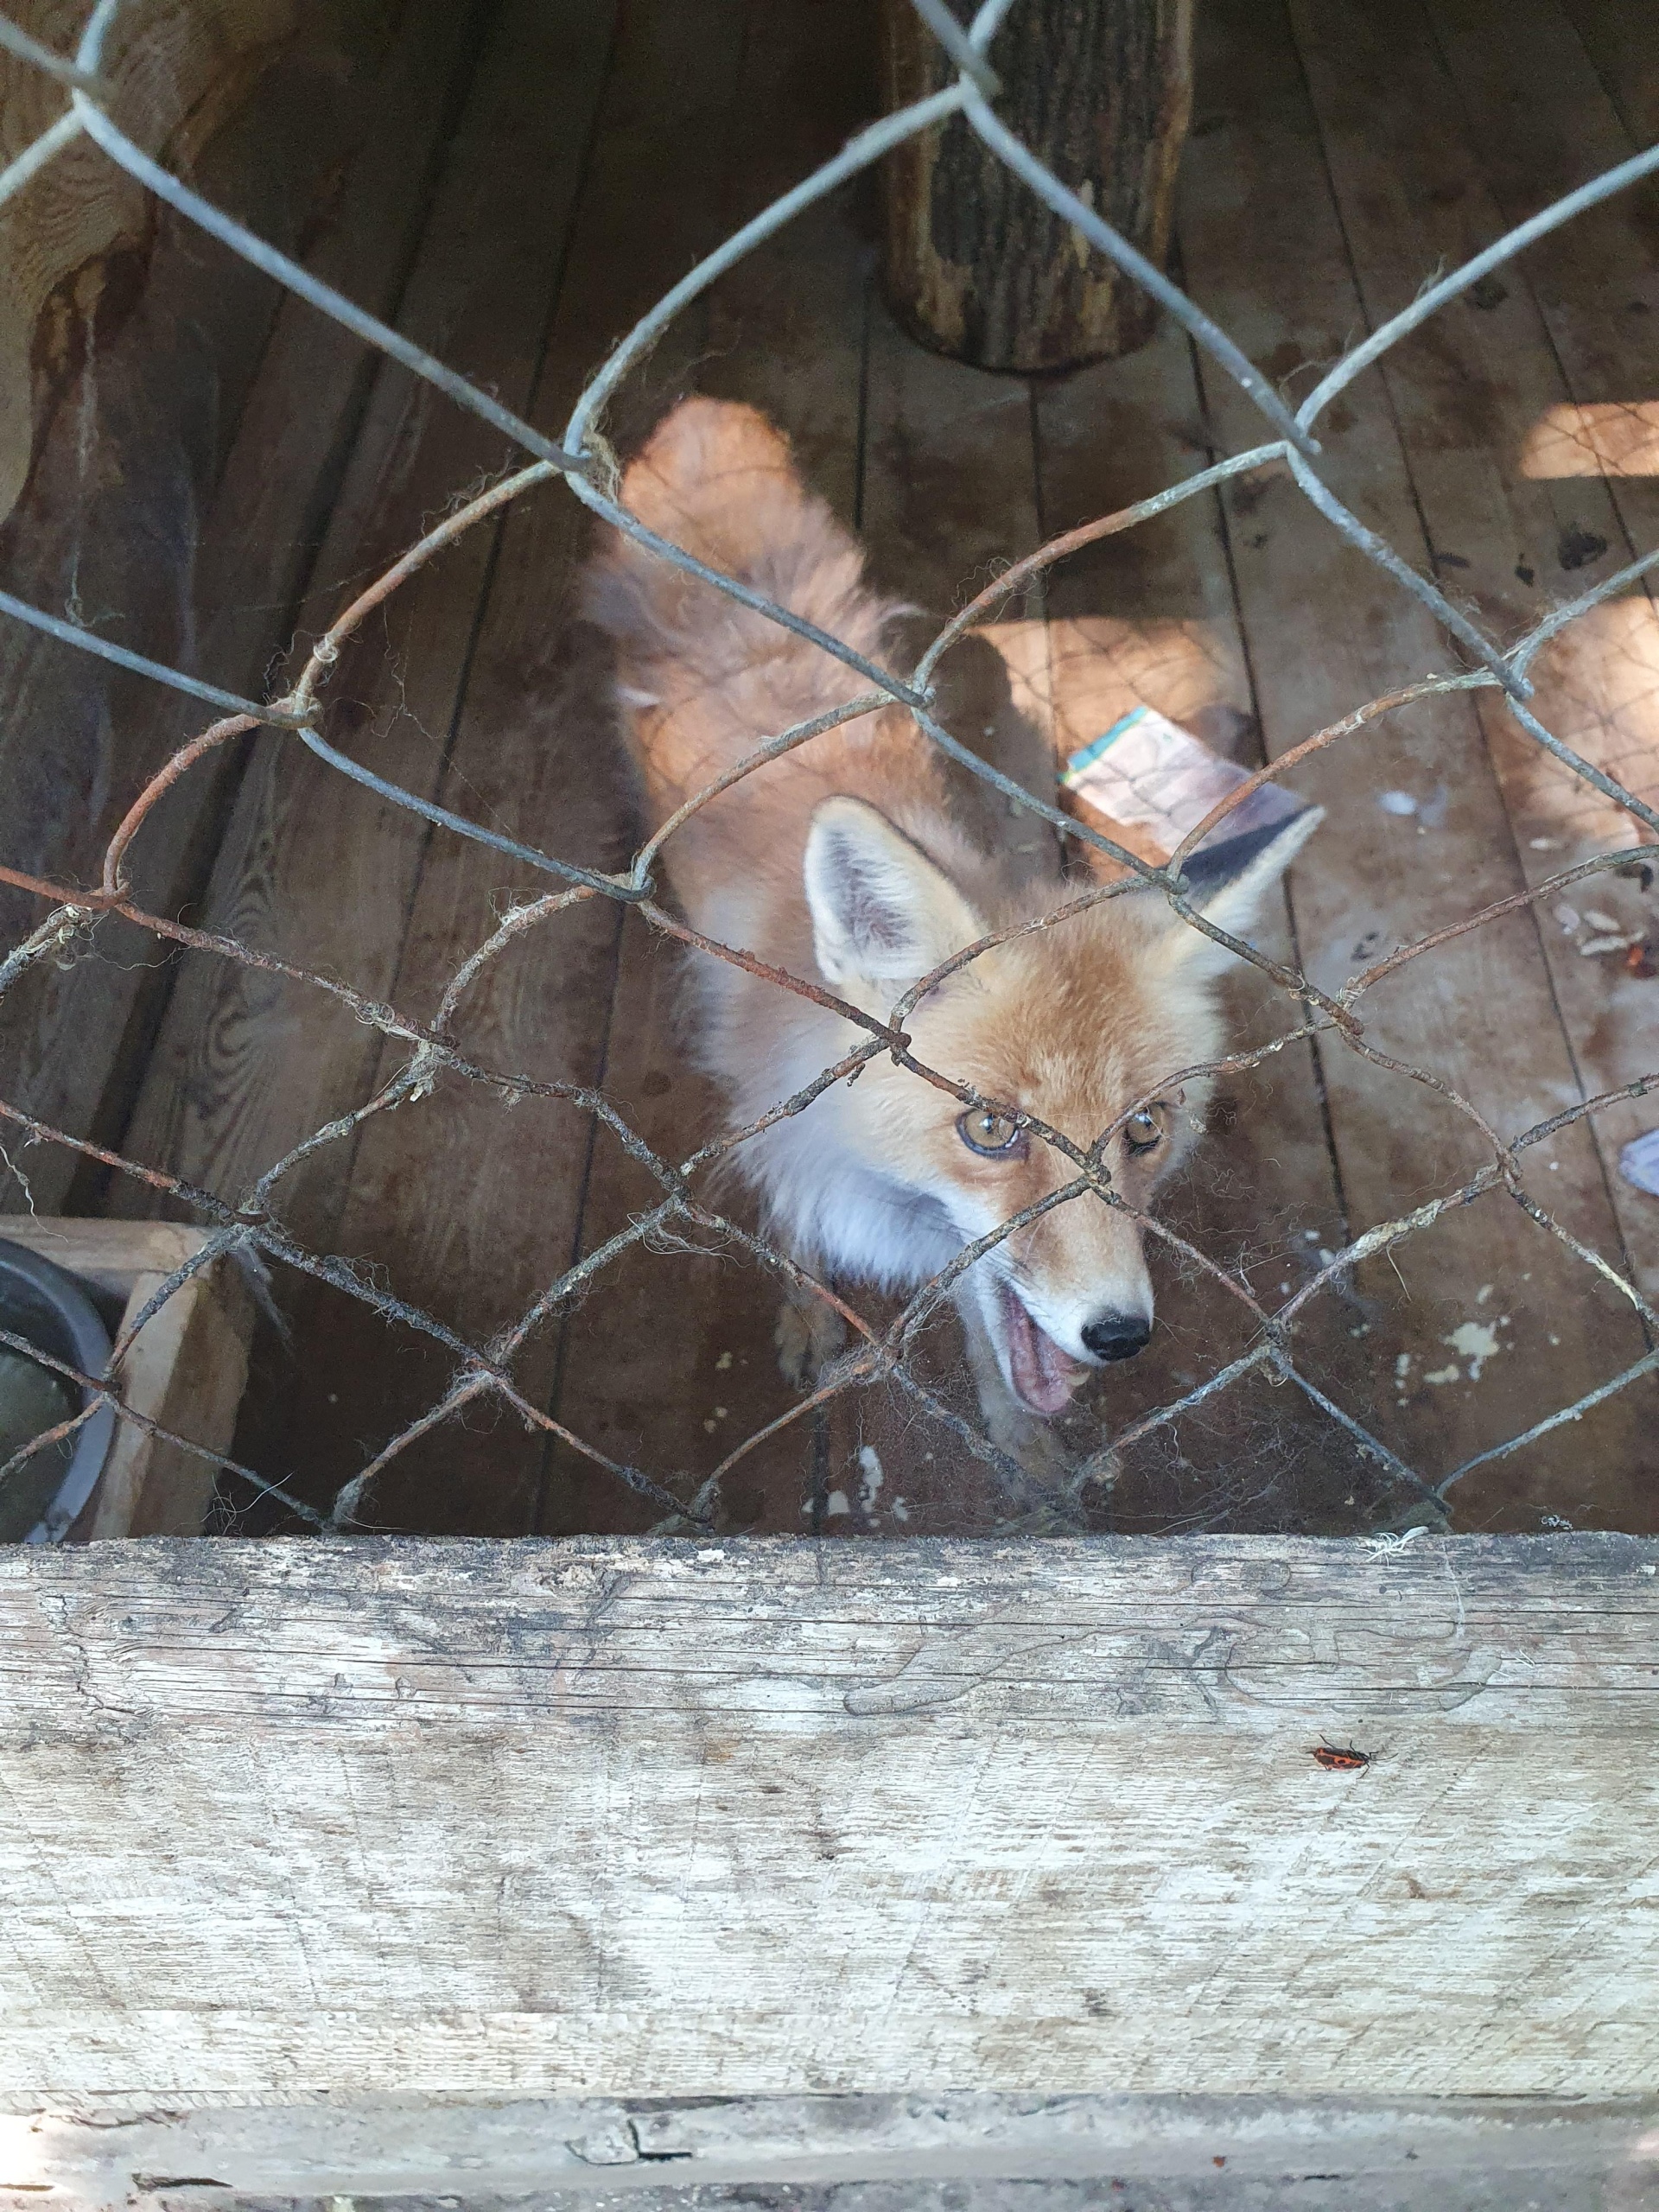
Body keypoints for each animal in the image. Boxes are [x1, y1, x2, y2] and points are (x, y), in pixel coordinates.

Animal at [588, 402, 1327, 1468]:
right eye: (989, 1129)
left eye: (1146, 1130)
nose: (1121, 1334)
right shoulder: (766, 1108)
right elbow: (795, 1228)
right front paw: (809, 1313)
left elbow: (991, 1320)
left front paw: (1022, 1446)